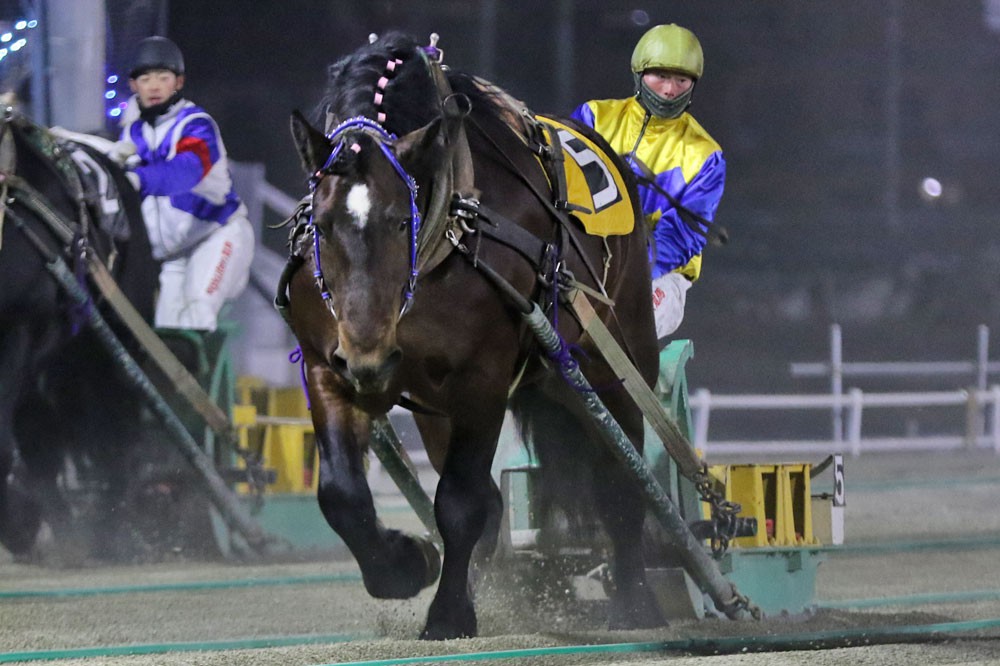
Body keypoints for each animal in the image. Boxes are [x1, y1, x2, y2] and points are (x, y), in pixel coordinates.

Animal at [286, 32, 664, 640]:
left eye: (401, 220)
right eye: (321, 226)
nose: (369, 359)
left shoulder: (482, 379)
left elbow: (461, 504)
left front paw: (449, 614)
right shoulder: (328, 367)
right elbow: (341, 495)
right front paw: (406, 564)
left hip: (613, 364)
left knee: (622, 481)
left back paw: (635, 601)